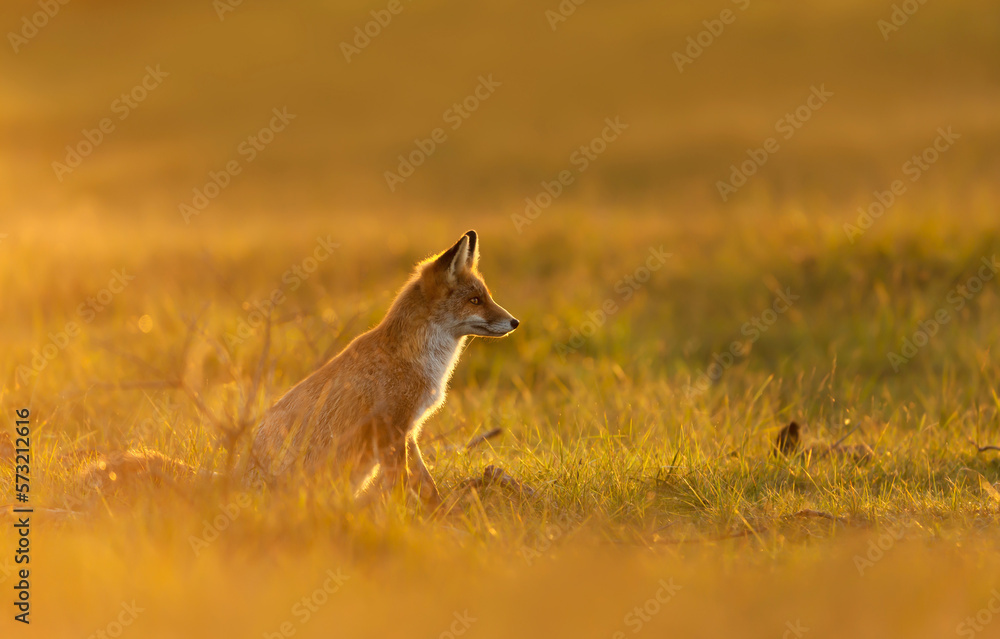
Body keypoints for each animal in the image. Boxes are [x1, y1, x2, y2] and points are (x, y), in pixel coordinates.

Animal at [249, 230, 518, 504]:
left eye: (486, 297)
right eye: (475, 301)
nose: (515, 322)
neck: (413, 361)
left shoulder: (409, 430)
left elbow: (427, 484)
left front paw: (439, 510)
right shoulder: (391, 427)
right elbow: (400, 483)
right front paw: (401, 512)